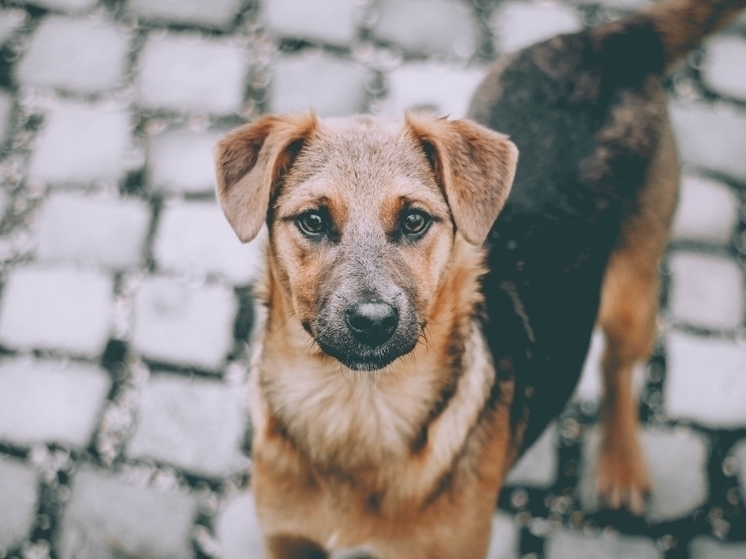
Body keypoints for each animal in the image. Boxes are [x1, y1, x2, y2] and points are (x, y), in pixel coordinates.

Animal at [212, 1, 740, 559]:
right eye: (312, 220)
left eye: (415, 220)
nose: (373, 322)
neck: (357, 411)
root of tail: (607, 41)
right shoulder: (287, 538)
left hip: (632, 295)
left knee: (616, 371)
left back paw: (621, 463)